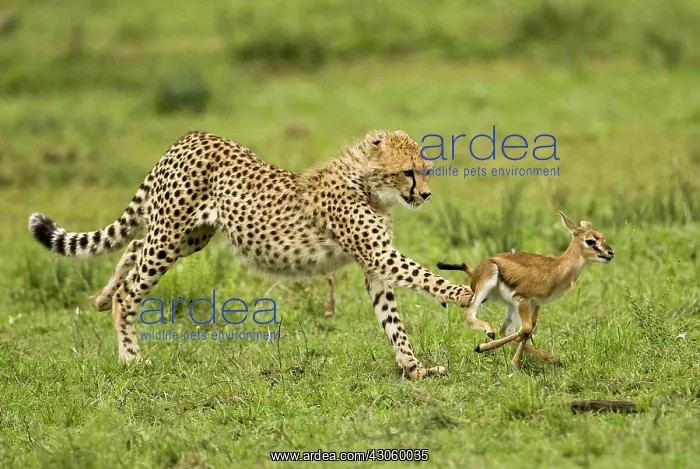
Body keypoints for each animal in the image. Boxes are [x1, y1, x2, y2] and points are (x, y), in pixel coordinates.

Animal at [28, 129, 474, 380]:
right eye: (408, 172)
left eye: (426, 170)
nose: (426, 195)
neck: (366, 183)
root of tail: (191, 137)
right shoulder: (379, 255)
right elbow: (426, 279)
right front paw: (467, 295)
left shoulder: (375, 264)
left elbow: (394, 323)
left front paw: (413, 368)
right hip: (171, 236)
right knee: (131, 290)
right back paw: (130, 356)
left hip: (189, 237)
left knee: (134, 247)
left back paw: (101, 297)